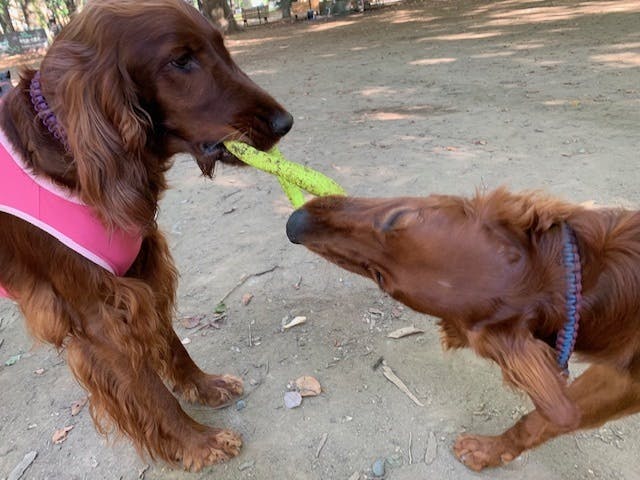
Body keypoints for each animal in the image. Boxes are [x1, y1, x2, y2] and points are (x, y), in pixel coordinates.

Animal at [0, 0, 292, 472]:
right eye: (181, 60)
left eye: (220, 47)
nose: (286, 122)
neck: (64, 150)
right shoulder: (97, 316)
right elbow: (149, 390)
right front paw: (198, 442)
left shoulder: (140, 271)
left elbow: (171, 343)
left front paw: (204, 387)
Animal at [288, 188, 640, 472]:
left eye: (380, 279)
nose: (294, 224)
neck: (582, 286)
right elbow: (547, 419)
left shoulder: (624, 382)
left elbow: (543, 419)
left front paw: (488, 451)